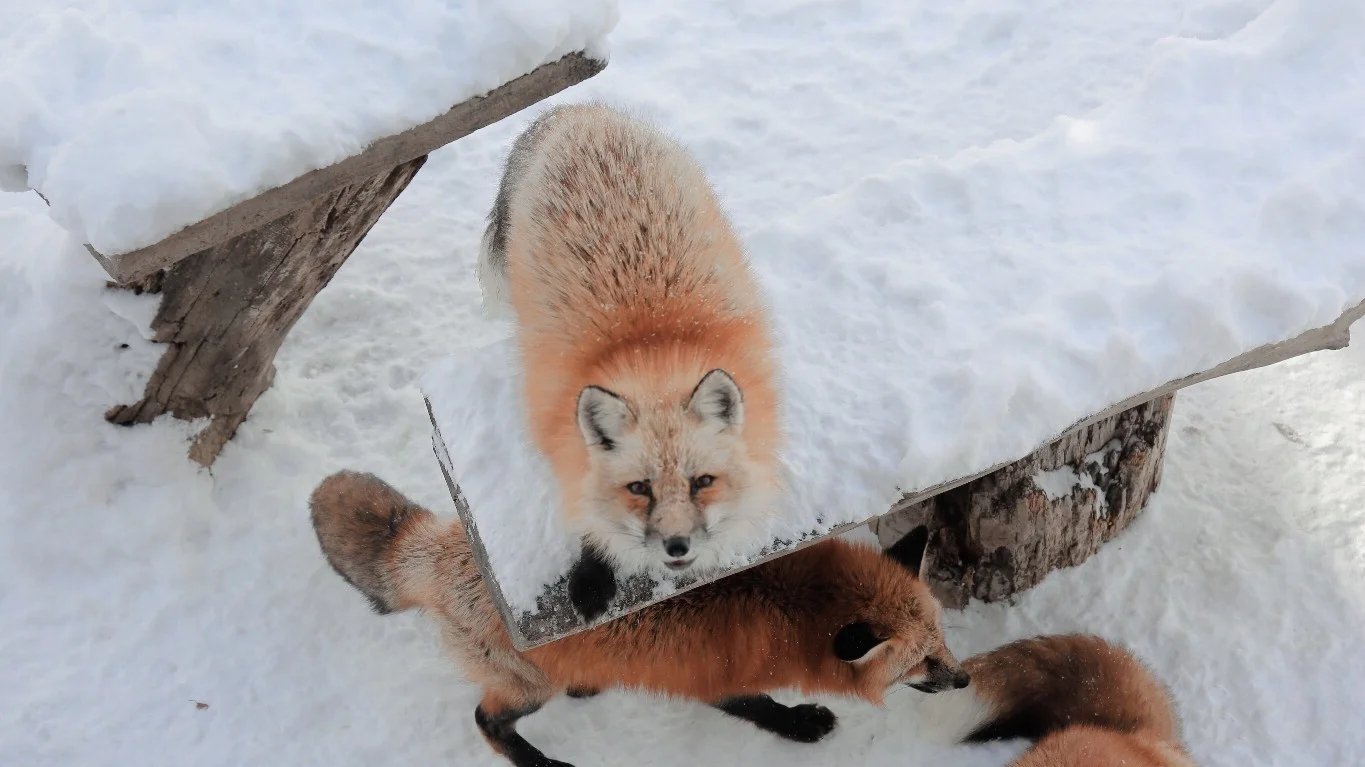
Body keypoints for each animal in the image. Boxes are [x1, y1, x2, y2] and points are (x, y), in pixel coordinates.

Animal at [309, 469, 971, 764]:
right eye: (922, 662)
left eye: (942, 639)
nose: (965, 679)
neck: (785, 606)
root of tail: (437, 547)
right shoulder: (714, 675)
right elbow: (757, 707)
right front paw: (800, 725)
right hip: (527, 688)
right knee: (485, 720)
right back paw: (541, 764)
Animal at [477, 103, 780, 603]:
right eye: (640, 488)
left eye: (702, 483)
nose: (677, 546)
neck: (650, 343)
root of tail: (578, 111)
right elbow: (584, 504)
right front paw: (593, 572)